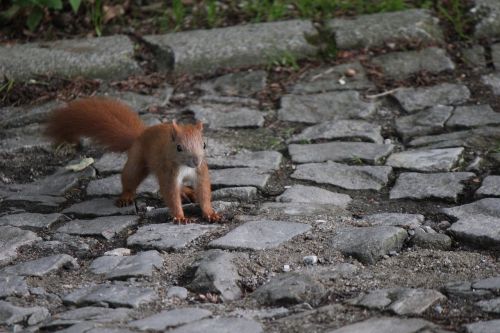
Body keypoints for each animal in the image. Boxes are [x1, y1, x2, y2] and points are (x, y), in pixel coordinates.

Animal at [45, 97, 221, 224]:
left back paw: (186, 191)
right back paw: (126, 196)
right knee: (130, 178)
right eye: (179, 147)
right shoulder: (168, 172)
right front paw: (180, 217)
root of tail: (140, 135)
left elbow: (204, 192)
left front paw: (210, 213)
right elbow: (170, 193)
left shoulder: (200, 172)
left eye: (204, 144)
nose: (196, 161)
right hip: (137, 162)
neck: (185, 167)